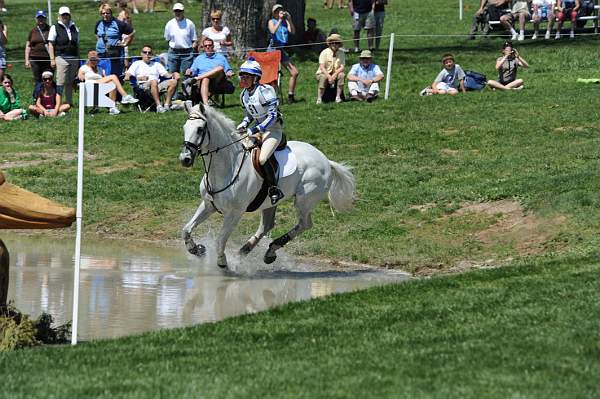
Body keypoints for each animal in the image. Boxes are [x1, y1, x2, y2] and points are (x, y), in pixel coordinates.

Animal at [178, 103, 356, 268]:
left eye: (200, 129)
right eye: (184, 127)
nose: (185, 159)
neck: (228, 166)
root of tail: (326, 160)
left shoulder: (234, 213)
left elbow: (220, 241)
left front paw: (223, 264)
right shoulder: (208, 205)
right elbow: (186, 229)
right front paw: (196, 249)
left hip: (304, 201)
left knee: (304, 224)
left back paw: (270, 249)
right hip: (270, 203)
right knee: (267, 225)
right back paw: (247, 251)